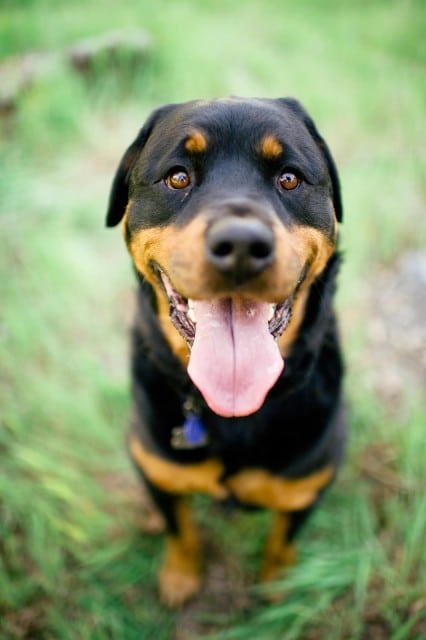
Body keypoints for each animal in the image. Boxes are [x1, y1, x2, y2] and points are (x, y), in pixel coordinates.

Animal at [106, 97, 346, 608]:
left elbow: (282, 540)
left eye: (289, 178)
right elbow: (179, 526)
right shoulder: (157, 467)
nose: (240, 244)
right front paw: (180, 576)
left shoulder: (306, 490)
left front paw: (278, 585)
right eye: (177, 177)